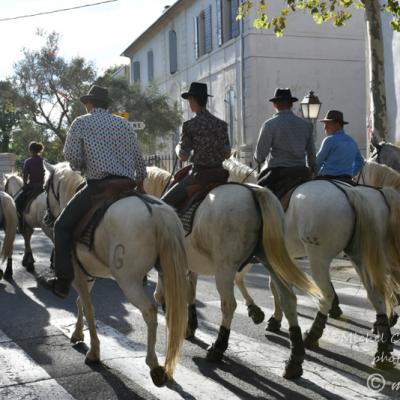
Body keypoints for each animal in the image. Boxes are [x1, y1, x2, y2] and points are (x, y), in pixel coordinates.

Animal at [44, 161, 188, 386]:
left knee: (150, 311)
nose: (47, 218)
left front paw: (94, 352)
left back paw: (154, 363)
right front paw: (77, 333)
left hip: (128, 281)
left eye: (45, 188)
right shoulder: (89, 273)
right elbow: (81, 303)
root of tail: (155, 211)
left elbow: (89, 308)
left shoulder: (78, 274)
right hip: (168, 275)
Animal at [144, 165, 322, 378]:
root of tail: (255, 192)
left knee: (229, 305)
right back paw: (294, 360)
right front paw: (190, 326)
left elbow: (167, 294)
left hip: (225, 270)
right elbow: (190, 293)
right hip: (270, 261)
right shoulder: (191, 264)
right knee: (288, 298)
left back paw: (218, 348)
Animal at [198, 159, 400, 368]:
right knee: (376, 294)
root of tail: (351, 193)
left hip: (319, 258)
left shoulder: (256, 257)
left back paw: (313, 335)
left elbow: (250, 281)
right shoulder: (278, 258)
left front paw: (262, 314)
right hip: (358, 256)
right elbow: (274, 286)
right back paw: (383, 347)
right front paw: (273, 317)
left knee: (328, 294)